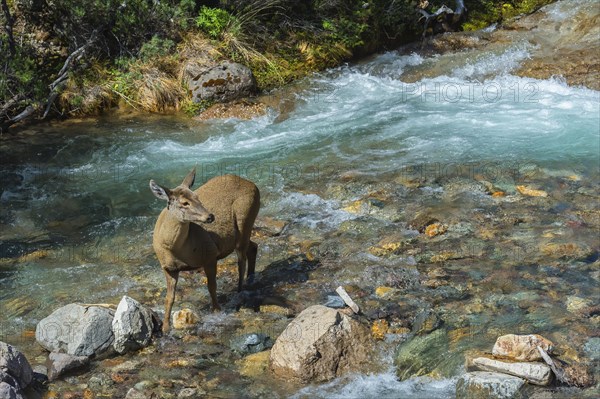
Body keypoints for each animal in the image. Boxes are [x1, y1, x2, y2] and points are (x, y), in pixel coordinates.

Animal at [149, 167, 258, 332]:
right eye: (184, 203)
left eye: (197, 196)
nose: (210, 216)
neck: (174, 249)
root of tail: (253, 185)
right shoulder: (168, 268)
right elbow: (169, 298)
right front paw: (165, 328)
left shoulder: (210, 254)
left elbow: (211, 286)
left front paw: (217, 311)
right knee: (254, 247)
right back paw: (251, 279)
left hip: (245, 219)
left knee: (242, 261)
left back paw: (239, 292)